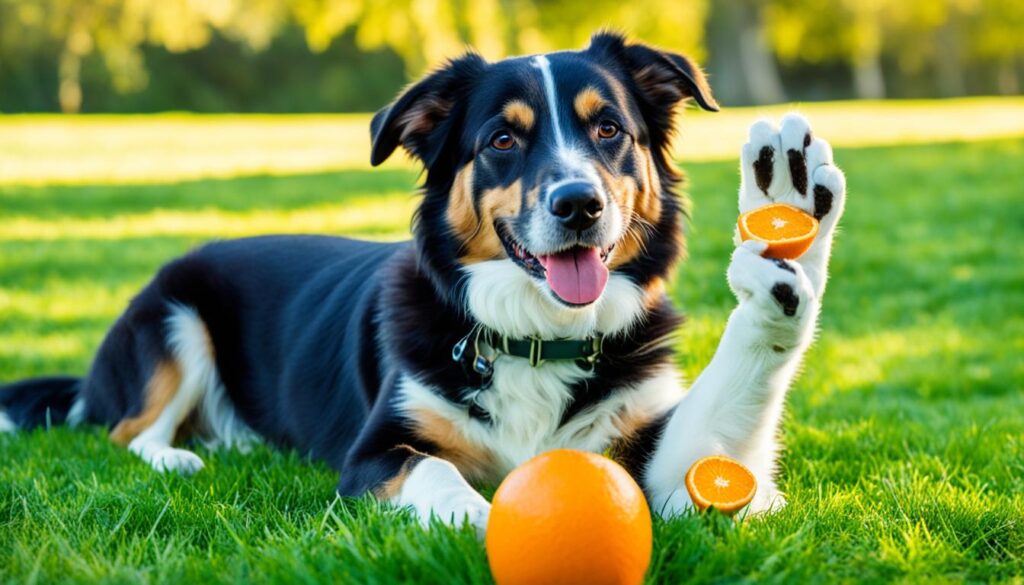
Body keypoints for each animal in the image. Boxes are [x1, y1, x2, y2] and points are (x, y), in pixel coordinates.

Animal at [2, 33, 847, 536]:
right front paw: (481, 516)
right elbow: (438, 471)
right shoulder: (376, 453)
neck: (534, 336)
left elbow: (719, 453)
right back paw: (179, 455)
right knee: (123, 430)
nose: (579, 204)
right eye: (502, 139)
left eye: (609, 128)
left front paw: (787, 245)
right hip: (174, 315)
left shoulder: (656, 457)